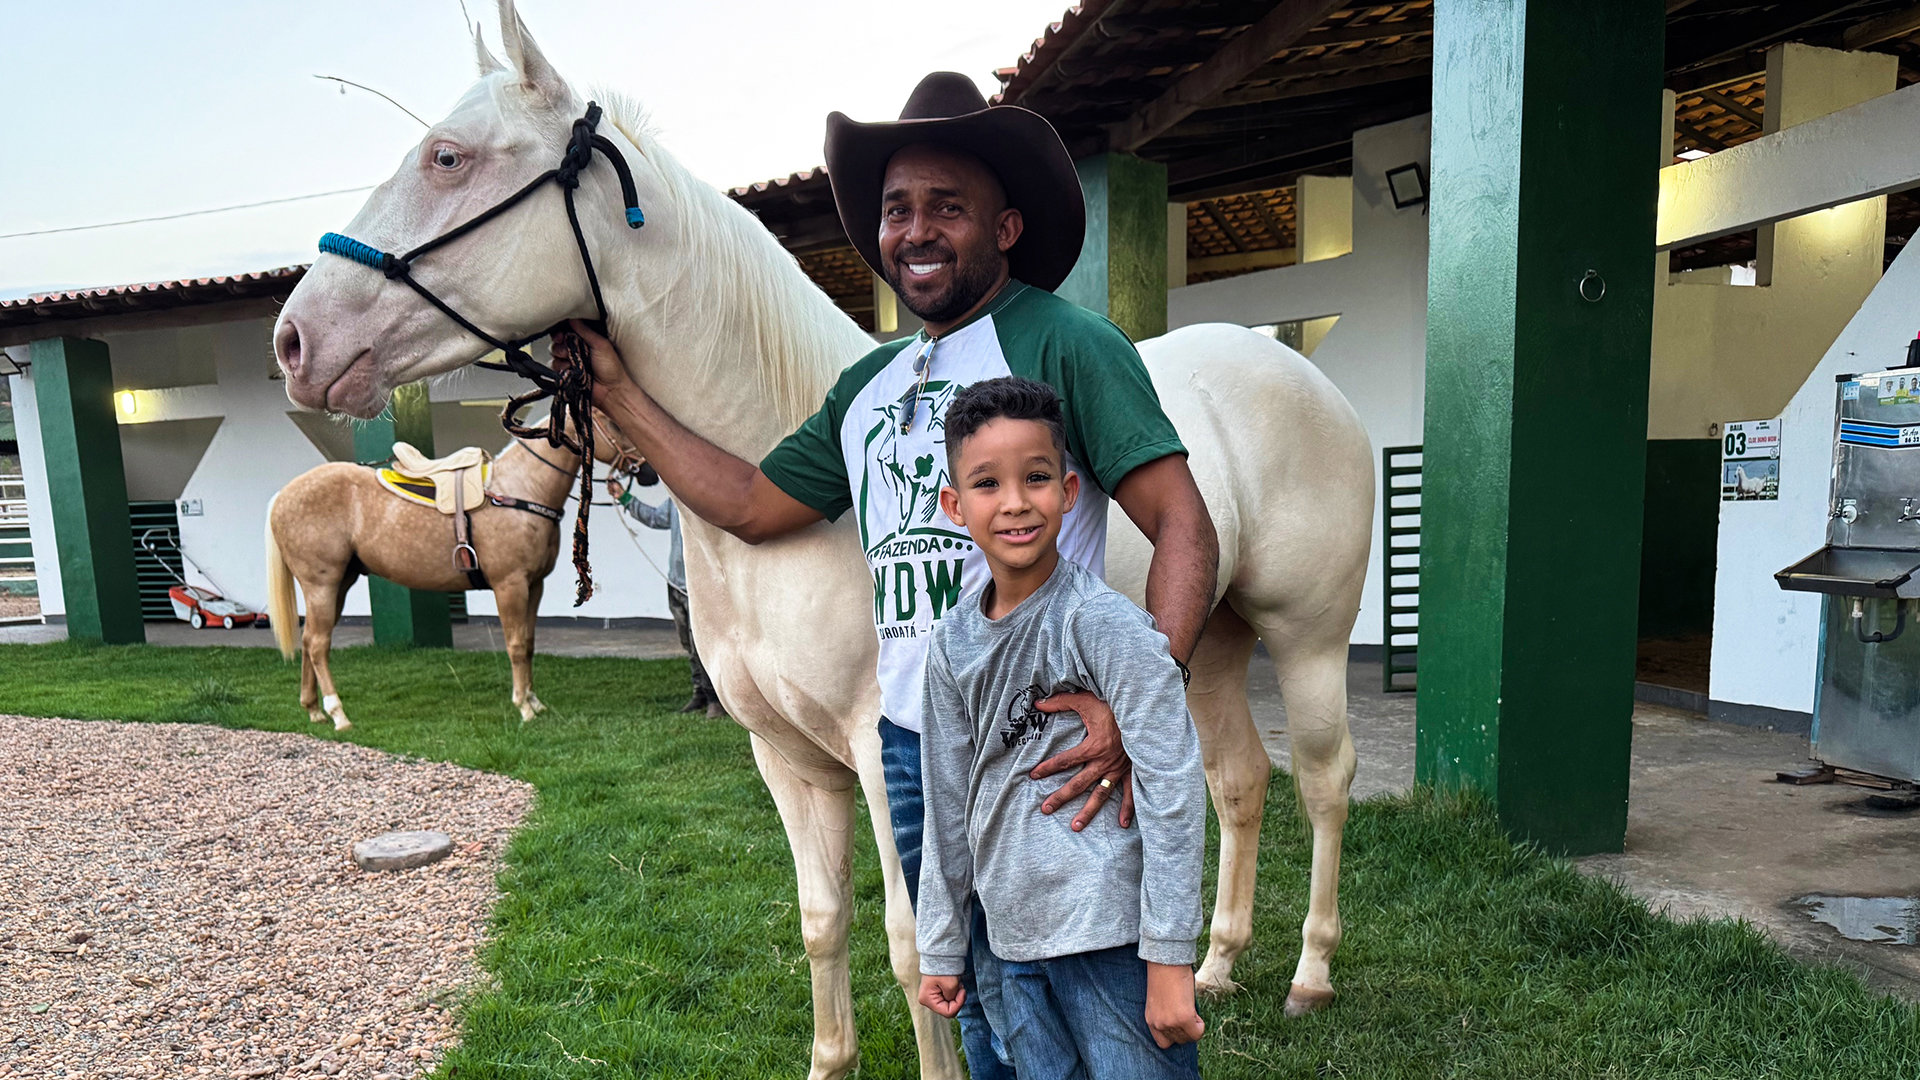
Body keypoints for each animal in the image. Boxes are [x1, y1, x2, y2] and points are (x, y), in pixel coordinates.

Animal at [264, 407, 629, 726]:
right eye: (611, 420)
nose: (641, 468)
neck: (518, 491)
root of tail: (282, 496)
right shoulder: (510, 586)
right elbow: (514, 645)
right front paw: (523, 707)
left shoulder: (533, 586)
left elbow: (528, 643)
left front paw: (534, 702)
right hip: (321, 586)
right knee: (317, 644)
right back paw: (338, 714)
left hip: (339, 584)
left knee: (309, 641)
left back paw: (314, 710)